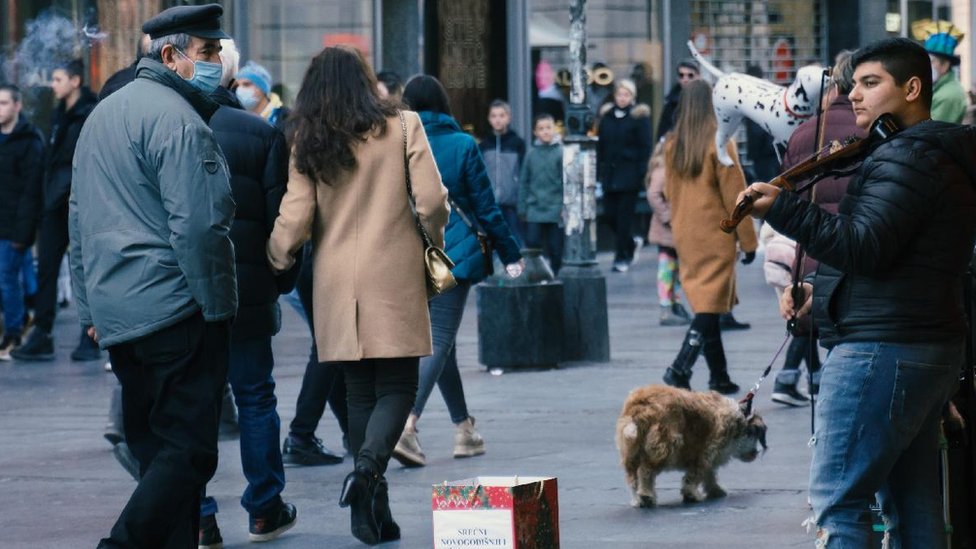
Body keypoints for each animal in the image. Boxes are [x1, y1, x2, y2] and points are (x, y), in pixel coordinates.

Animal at [612, 384, 768, 508]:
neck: (738, 420)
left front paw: (716, 490)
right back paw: (646, 495)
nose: (756, 452)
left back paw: (638, 499)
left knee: (632, 477)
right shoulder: (707, 452)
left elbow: (709, 473)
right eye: (755, 434)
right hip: (666, 445)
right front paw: (692, 494)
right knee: (646, 470)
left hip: (631, 450)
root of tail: (638, 406)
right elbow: (698, 473)